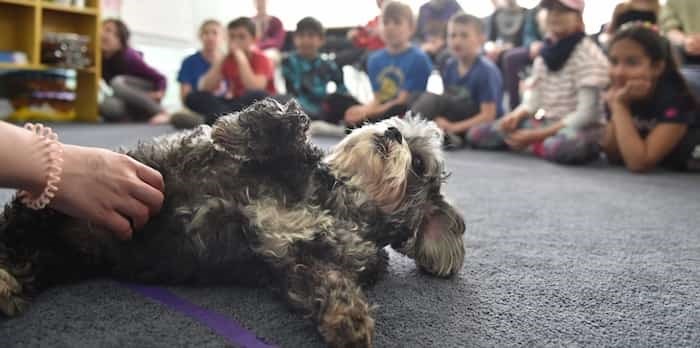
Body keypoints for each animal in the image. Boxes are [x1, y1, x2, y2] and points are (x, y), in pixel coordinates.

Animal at [0, 99, 464, 346]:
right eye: (394, 122)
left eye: (418, 165)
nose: (391, 133)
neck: (339, 202)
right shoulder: (278, 164)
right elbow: (285, 125)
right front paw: (238, 129)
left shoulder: (300, 261)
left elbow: (330, 284)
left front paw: (348, 319)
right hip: (45, 211)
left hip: (59, 251)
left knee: (21, 254)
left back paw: (8, 286)